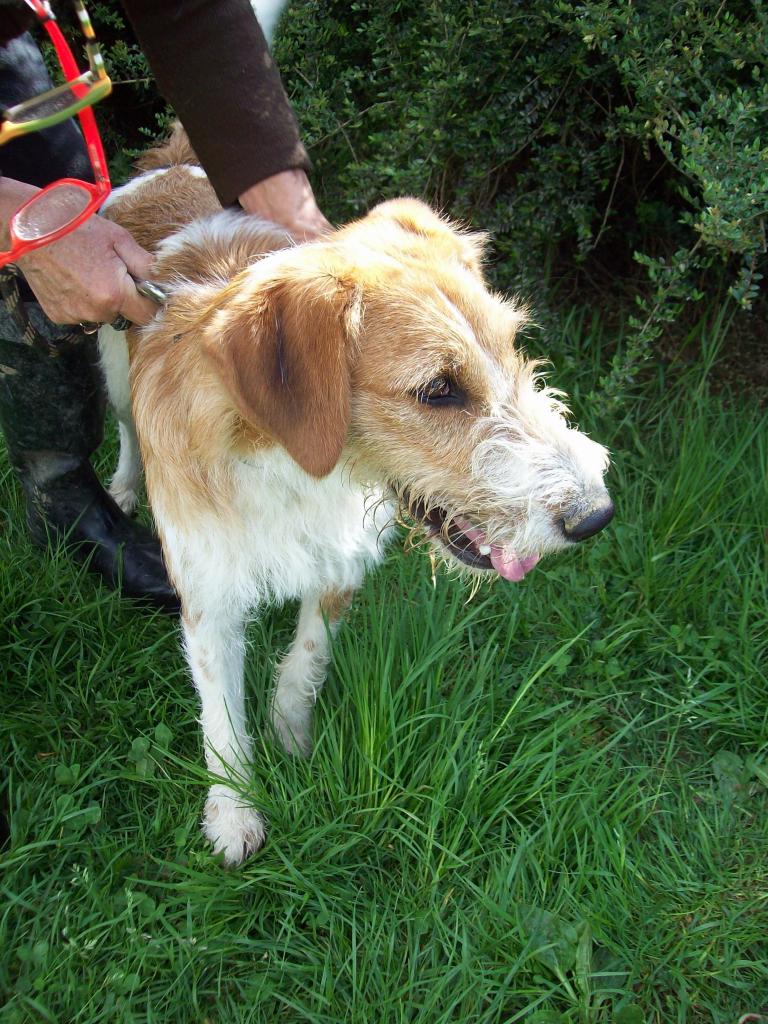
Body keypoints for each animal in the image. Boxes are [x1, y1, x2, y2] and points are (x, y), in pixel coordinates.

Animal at [97, 125, 614, 864]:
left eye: (514, 347)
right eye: (438, 390)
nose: (595, 515)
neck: (296, 470)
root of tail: (168, 165)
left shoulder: (341, 558)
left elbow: (306, 660)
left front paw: (291, 738)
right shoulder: (209, 596)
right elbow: (221, 714)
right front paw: (234, 811)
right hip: (113, 372)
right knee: (123, 428)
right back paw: (120, 485)